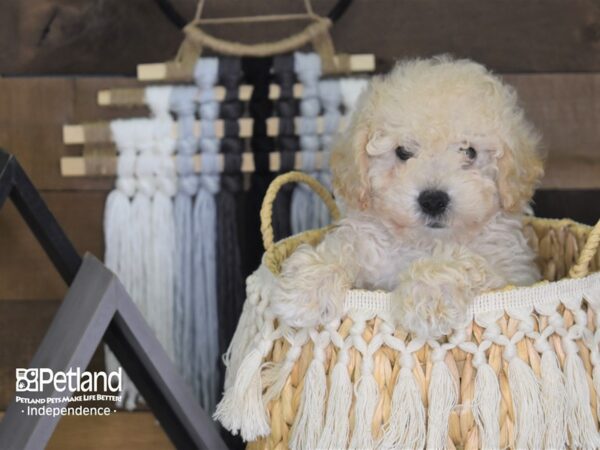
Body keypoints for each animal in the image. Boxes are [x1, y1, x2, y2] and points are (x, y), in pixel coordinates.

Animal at [272, 57, 544, 338]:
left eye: (469, 152)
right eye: (403, 151)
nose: (433, 200)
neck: (423, 243)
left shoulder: (510, 272)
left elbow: (464, 261)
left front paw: (428, 296)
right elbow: (344, 247)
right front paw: (305, 289)